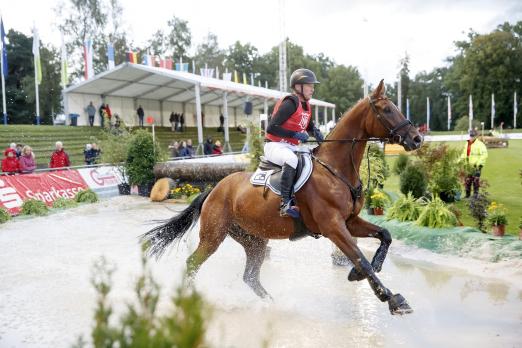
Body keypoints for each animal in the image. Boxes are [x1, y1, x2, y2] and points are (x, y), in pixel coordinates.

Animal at [142, 81, 422, 316]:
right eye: (386, 109)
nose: (417, 138)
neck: (335, 170)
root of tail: (214, 189)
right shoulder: (333, 226)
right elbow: (361, 258)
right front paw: (392, 299)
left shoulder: (349, 221)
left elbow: (385, 235)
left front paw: (358, 273)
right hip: (213, 235)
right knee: (193, 263)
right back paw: (190, 301)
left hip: (254, 240)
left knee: (250, 276)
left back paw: (272, 304)